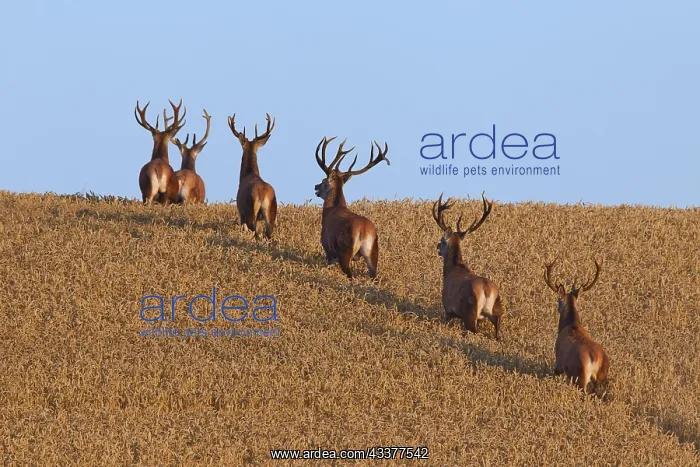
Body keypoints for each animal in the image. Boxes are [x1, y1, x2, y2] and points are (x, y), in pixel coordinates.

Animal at [314, 137, 390, 279]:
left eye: (323, 181)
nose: (315, 187)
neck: (332, 209)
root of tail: (364, 230)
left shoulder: (327, 248)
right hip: (373, 251)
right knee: (374, 274)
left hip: (345, 250)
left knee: (350, 274)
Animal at [432, 192, 504, 339]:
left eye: (442, 240)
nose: (437, 246)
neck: (452, 269)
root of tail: (486, 289)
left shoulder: (447, 307)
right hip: (495, 306)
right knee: (498, 322)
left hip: (469, 310)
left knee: (475, 329)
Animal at [544, 259, 610, 395]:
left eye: (558, 301)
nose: (557, 308)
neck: (571, 324)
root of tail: (595, 358)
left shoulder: (559, 361)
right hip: (601, 375)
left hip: (580, 375)